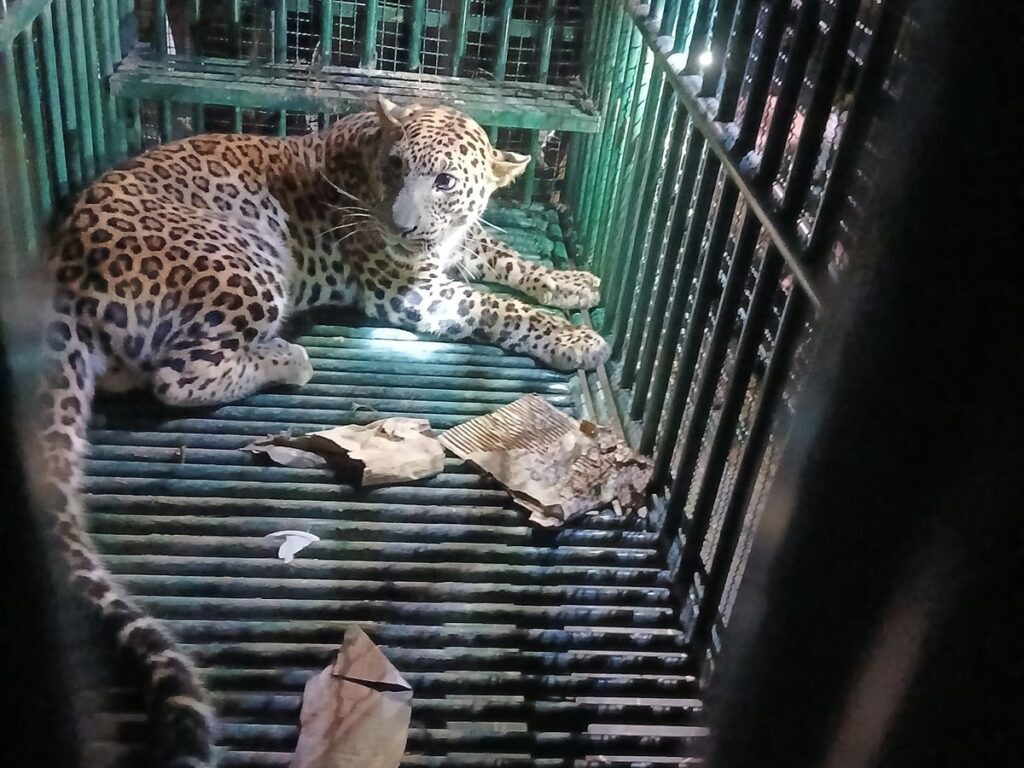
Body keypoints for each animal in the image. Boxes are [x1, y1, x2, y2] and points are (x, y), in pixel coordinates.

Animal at [32, 96, 609, 767]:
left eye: (443, 181)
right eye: (395, 167)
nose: (401, 227)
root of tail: (62, 265)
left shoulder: (458, 247)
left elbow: (503, 254)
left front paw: (569, 282)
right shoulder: (412, 294)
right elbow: (497, 304)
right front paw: (573, 338)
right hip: (246, 262)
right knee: (177, 377)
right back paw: (287, 358)